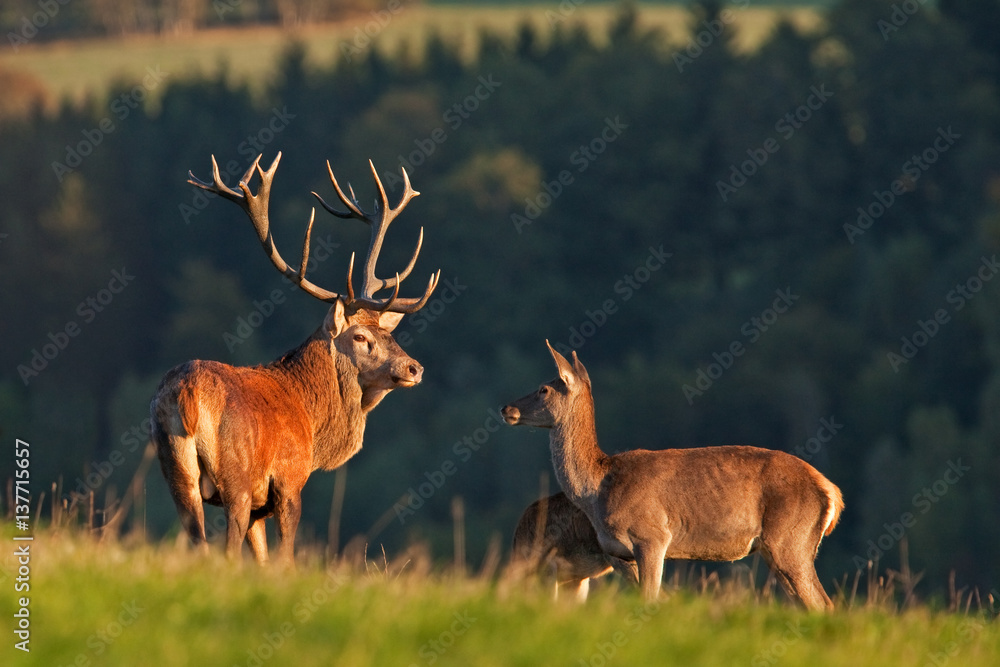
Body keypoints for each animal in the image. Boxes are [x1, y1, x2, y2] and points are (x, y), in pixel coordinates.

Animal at [151, 152, 439, 565]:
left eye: (390, 334)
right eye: (361, 336)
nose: (414, 368)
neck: (311, 419)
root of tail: (185, 394)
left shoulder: (259, 506)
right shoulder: (288, 479)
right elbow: (284, 558)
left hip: (175, 469)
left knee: (197, 540)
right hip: (236, 475)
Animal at [502, 342, 844, 610]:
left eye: (544, 388)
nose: (507, 408)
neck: (598, 488)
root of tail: (831, 492)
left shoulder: (651, 536)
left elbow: (650, 600)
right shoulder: (620, 553)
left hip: (790, 541)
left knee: (822, 604)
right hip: (779, 550)